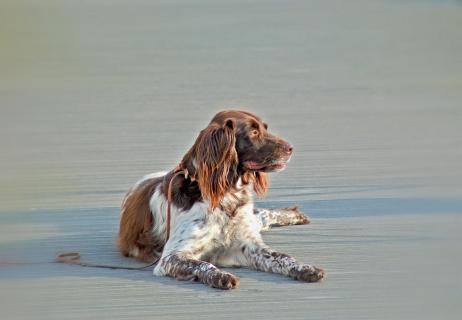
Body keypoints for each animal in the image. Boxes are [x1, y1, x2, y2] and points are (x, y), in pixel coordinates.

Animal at [118, 110, 324, 290]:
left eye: (265, 128)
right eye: (254, 132)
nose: (291, 148)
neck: (227, 196)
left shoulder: (249, 246)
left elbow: (281, 256)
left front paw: (305, 268)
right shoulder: (170, 257)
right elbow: (203, 264)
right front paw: (220, 276)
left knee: (262, 215)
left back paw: (294, 215)